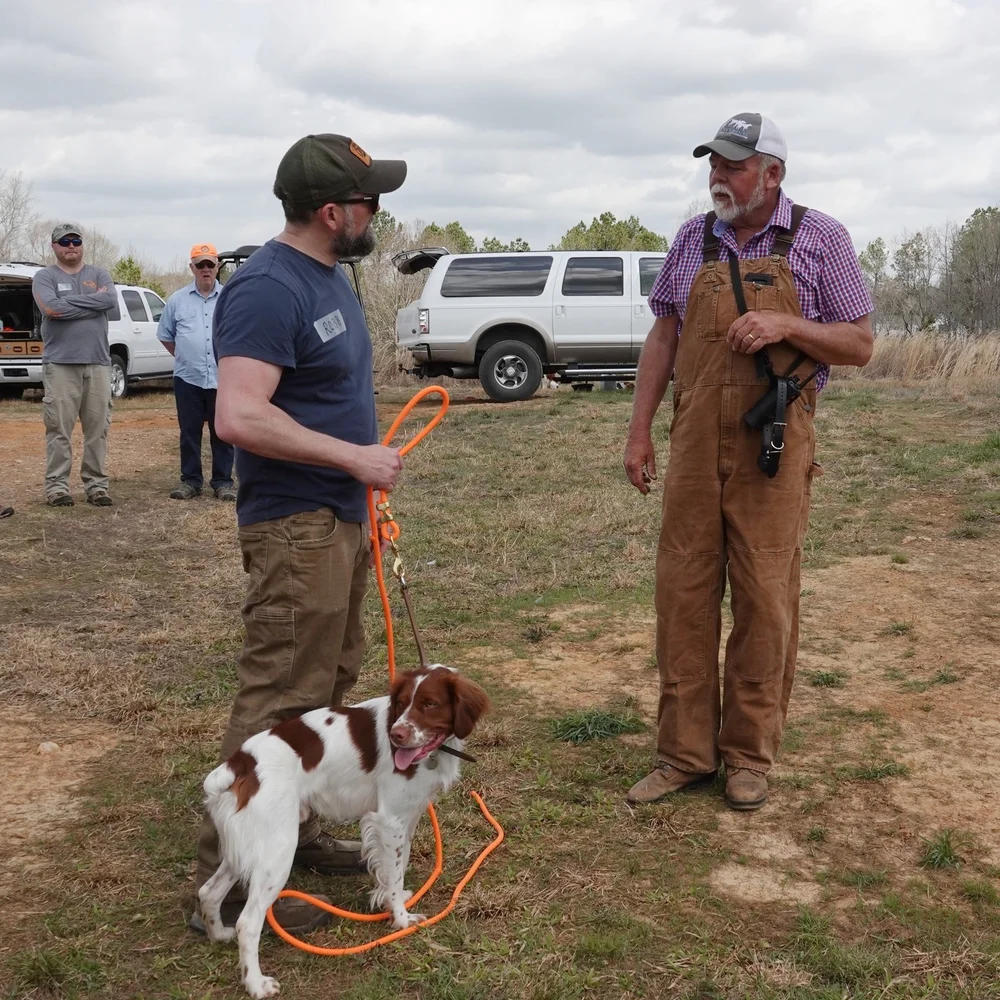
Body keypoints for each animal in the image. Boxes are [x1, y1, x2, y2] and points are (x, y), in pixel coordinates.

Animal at [197, 664, 490, 1000]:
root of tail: (240, 763)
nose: (396, 735)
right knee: (248, 921)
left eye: (430, 703)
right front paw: (401, 919)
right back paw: (256, 984)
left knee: (208, 891)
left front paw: (390, 902)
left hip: (249, 847)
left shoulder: (407, 816)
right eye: (403, 703)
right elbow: (394, 872)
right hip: (277, 851)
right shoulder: (389, 818)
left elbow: (397, 866)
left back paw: (219, 934)